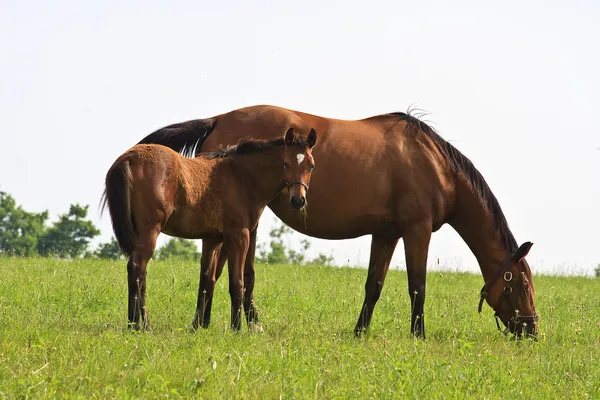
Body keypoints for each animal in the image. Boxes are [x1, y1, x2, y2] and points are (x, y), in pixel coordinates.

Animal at [102, 128, 318, 332]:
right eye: (286, 164)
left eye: (311, 165)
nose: (298, 201)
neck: (241, 177)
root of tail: (129, 158)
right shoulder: (239, 236)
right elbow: (237, 283)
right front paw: (236, 328)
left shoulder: (212, 239)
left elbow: (207, 280)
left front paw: (200, 326)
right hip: (150, 230)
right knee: (137, 267)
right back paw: (138, 326)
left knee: (142, 274)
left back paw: (140, 324)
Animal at [139, 104, 540, 340]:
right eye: (521, 284)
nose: (533, 330)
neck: (432, 164)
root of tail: (218, 119)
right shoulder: (416, 230)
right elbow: (417, 286)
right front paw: (419, 335)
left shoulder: (386, 233)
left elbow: (374, 285)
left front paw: (360, 331)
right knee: (228, 272)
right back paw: (235, 324)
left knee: (216, 271)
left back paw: (204, 324)